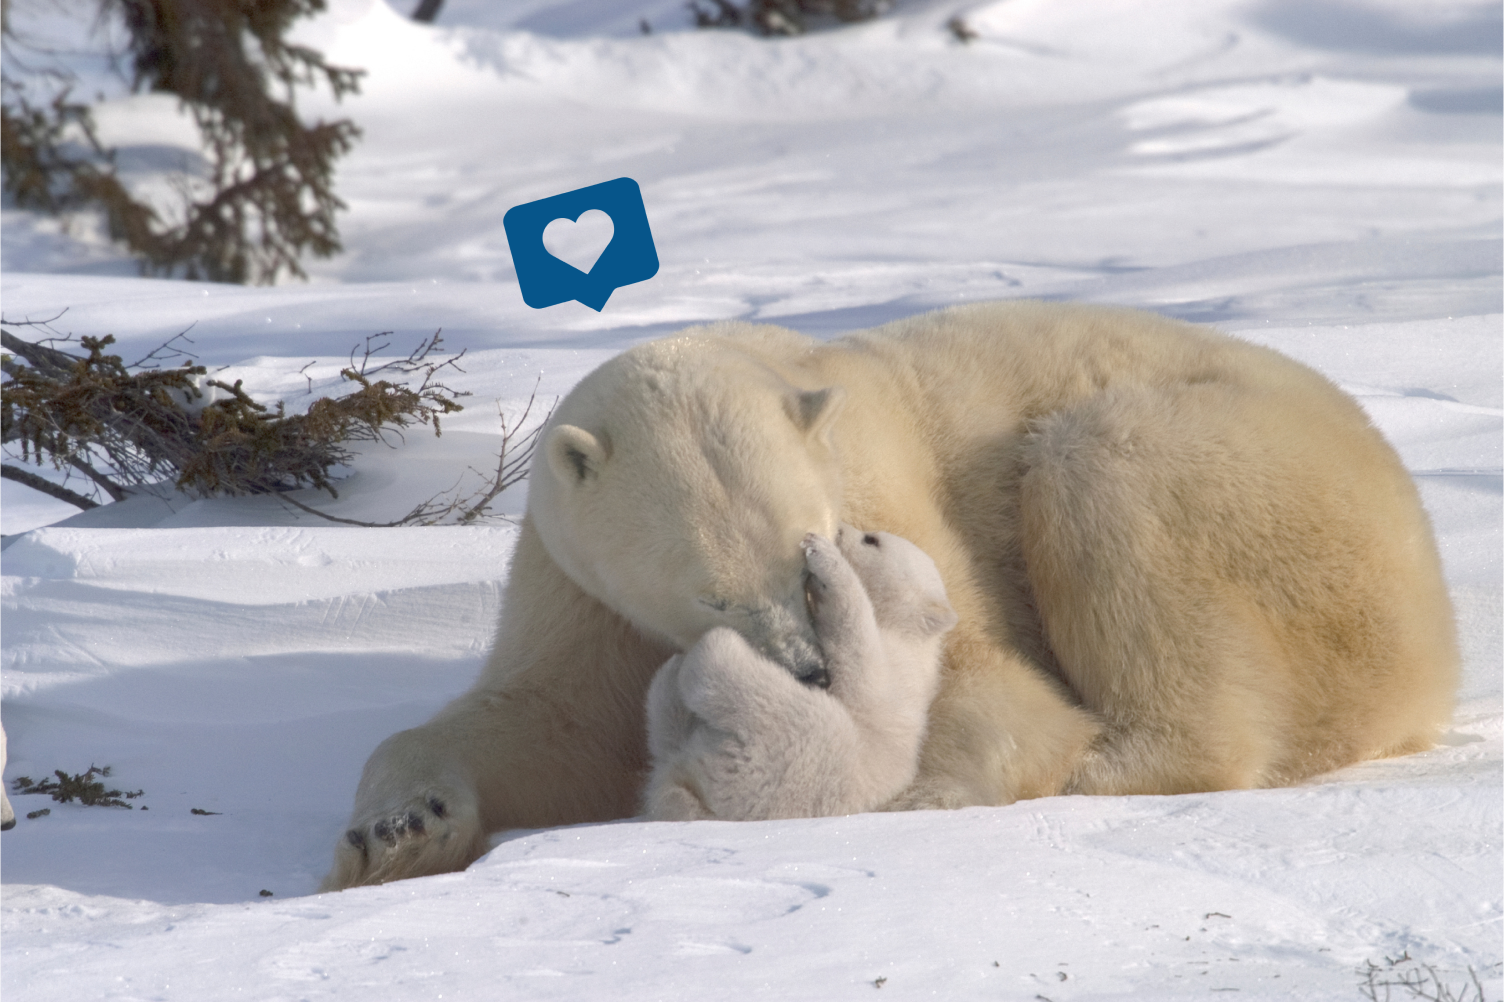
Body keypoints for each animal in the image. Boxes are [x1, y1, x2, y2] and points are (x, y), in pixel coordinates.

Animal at [643, 526, 958, 822]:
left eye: (872, 539)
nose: (840, 529)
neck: (908, 631)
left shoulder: (895, 672)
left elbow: (857, 656)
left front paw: (822, 553)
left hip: (799, 762)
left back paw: (712, 650)